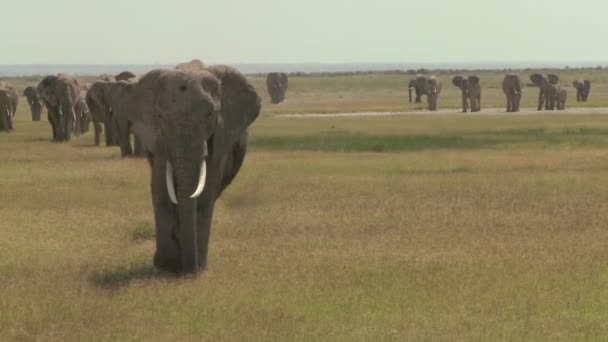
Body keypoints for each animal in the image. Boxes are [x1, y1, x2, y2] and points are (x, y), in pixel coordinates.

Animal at [109, 65, 262, 274]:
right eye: (160, 116)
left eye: (209, 114)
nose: (190, 271)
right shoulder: (158, 140)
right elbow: (161, 191)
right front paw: (166, 264)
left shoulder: (220, 140)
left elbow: (205, 194)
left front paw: (197, 268)